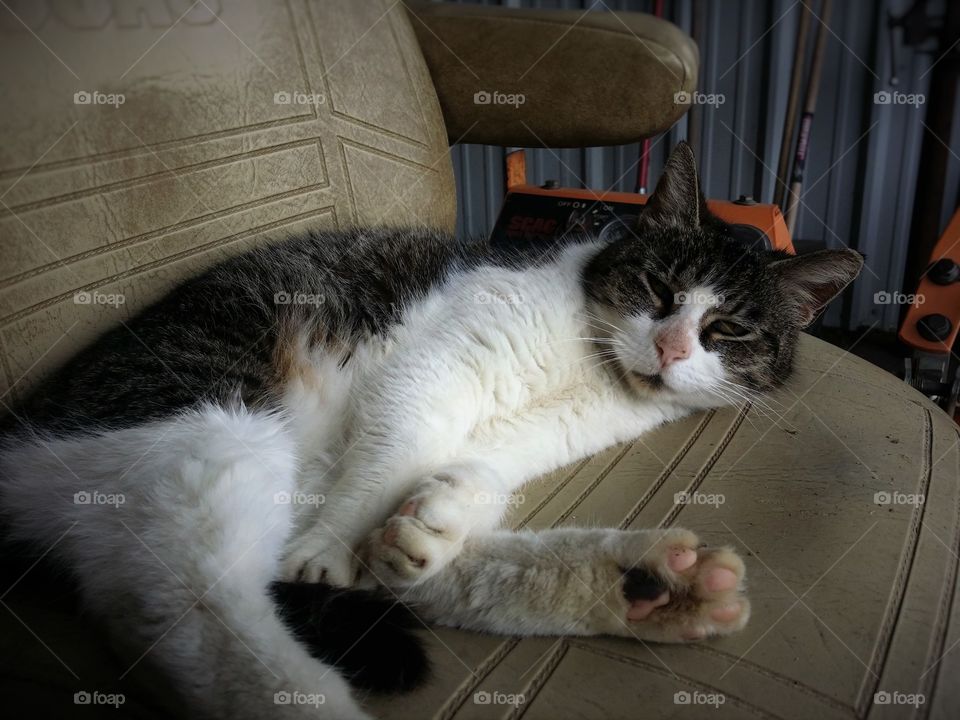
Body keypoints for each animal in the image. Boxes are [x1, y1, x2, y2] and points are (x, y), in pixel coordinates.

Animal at [0, 142, 864, 720]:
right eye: (658, 288)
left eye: (727, 331)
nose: (672, 347)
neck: (590, 367)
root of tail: (17, 434)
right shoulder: (434, 370)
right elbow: (391, 454)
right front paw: (336, 546)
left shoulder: (540, 434)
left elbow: (473, 473)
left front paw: (444, 506)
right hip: (211, 434)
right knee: (202, 607)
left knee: (377, 577)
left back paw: (648, 584)